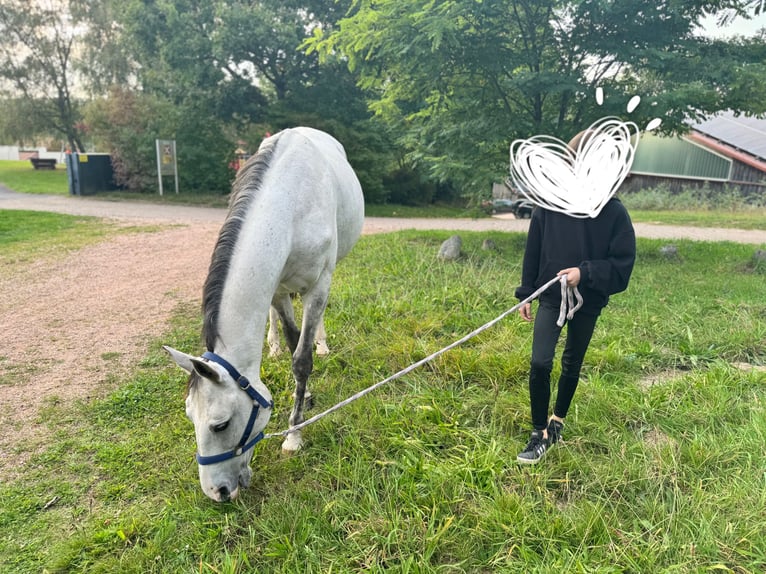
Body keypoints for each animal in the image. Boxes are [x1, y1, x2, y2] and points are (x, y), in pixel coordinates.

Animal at [163, 127, 366, 504]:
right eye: (188, 415)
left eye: (221, 424)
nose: (217, 492)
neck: (290, 206)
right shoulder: (276, 288)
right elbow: (291, 339)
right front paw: (303, 396)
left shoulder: (319, 283)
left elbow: (302, 359)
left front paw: (293, 436)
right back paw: (272, 347)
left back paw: (322, 344)